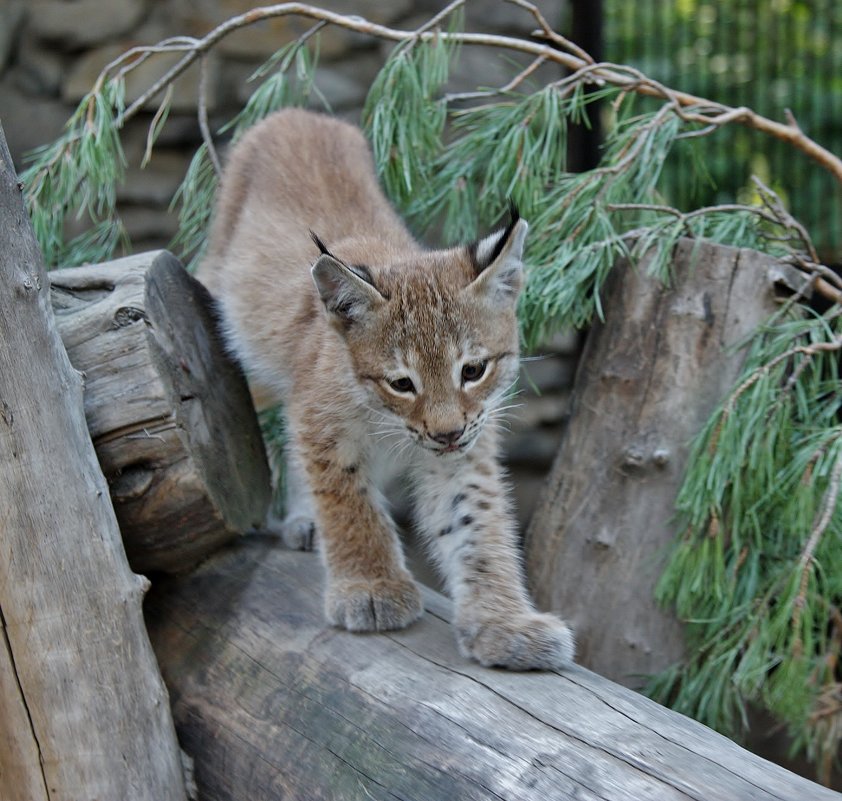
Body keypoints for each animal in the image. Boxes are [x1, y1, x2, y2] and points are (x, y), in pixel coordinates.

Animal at [200, 108, 576, 668]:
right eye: (402, 383)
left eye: (473, 370)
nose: (445, 433)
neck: (386, 420)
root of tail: (297, 113)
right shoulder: (325, 428)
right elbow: (350, 504)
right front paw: (371, 587)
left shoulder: (467, 444)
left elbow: (477, 524)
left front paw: (505, 623)